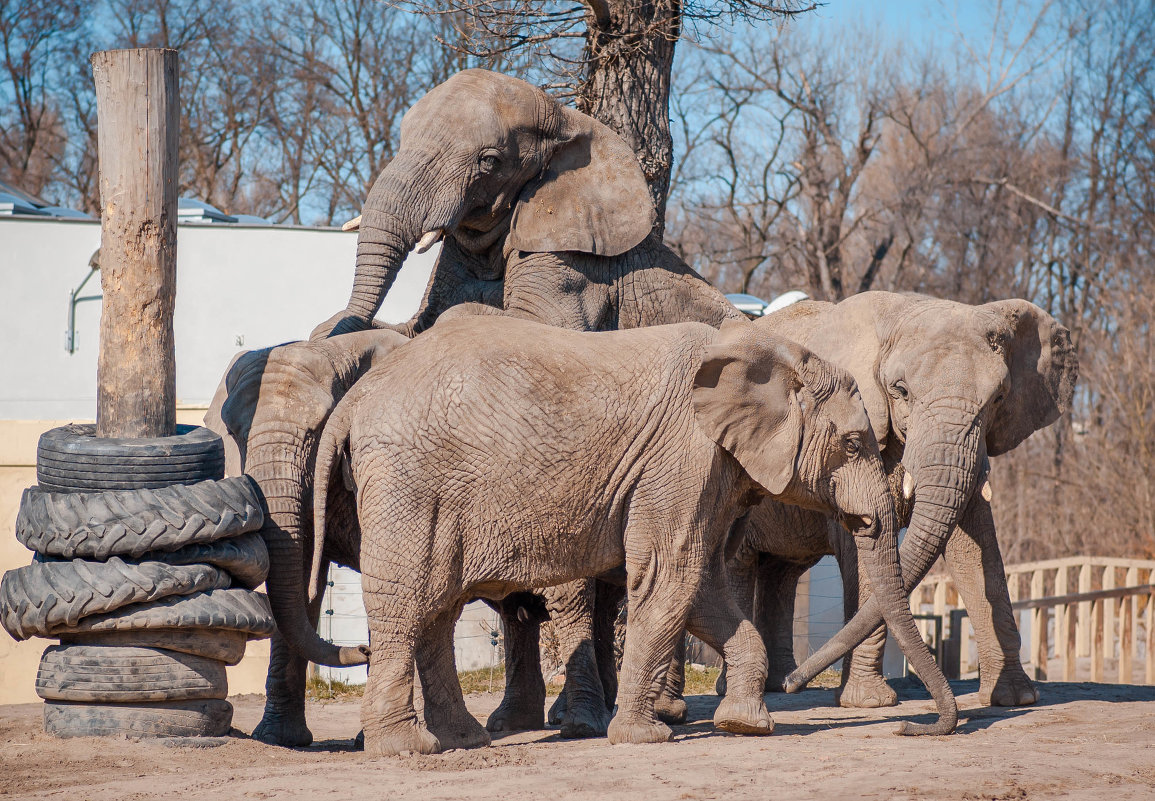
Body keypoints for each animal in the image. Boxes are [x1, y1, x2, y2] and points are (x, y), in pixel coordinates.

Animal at [307, 316, 956, 757]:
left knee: (438, 606)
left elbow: (703, 584)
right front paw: (644, 737)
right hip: (407, 481)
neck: (767, 349)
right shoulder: (683, 456)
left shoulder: (707, 469)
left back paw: (466, 741)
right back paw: (409, 748)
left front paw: (744, 725)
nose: (917, 726)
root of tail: (357, 396)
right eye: (854, 443)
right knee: (406, 600)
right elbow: (672, 574)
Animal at [674, 292, 1071, 710]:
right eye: (901, 390)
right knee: (741, 564)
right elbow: (865, 548)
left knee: (782, 572)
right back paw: (743, 686)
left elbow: (977, 551)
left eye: (998, 398)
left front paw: (1016, 699)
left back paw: (777, 682)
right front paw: (868, 702)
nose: (797, 684)